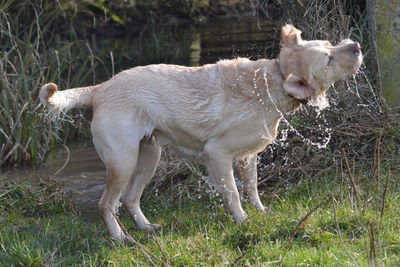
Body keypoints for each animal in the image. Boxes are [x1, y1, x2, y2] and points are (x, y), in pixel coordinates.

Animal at [39, 25, 362, 243]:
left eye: (331, 44)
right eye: (328, 59)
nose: (357, 45)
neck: (274, 81)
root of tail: (100, 88)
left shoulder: (247, 157)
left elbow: (252, 187)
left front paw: (261, 212)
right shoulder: (217, 154)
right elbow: (233, 193)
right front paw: (243, 221)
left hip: (148, 156)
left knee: (130, 199)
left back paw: (146, 228)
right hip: (123, 160)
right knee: (107, 203)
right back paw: (121, 238)